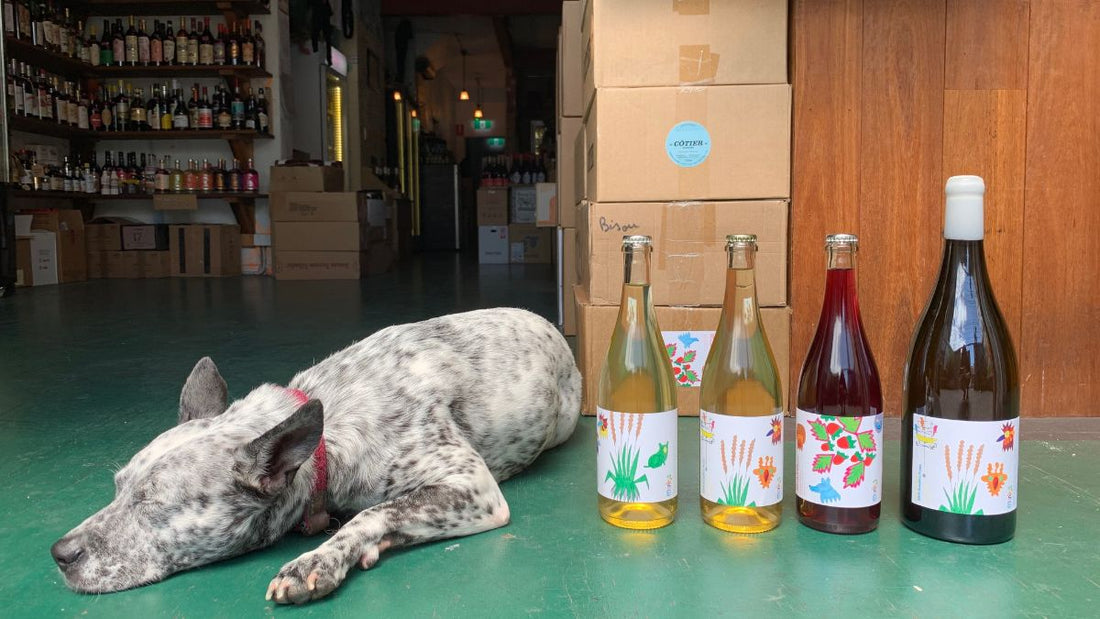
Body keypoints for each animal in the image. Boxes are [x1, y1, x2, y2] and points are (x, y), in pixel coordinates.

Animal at [51, 308, 581, 605]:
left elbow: (374, 512)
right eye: (117, 489)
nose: (59, 554)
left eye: (152, 505)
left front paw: (316, 562)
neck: (329, 440)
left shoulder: (472, 486)